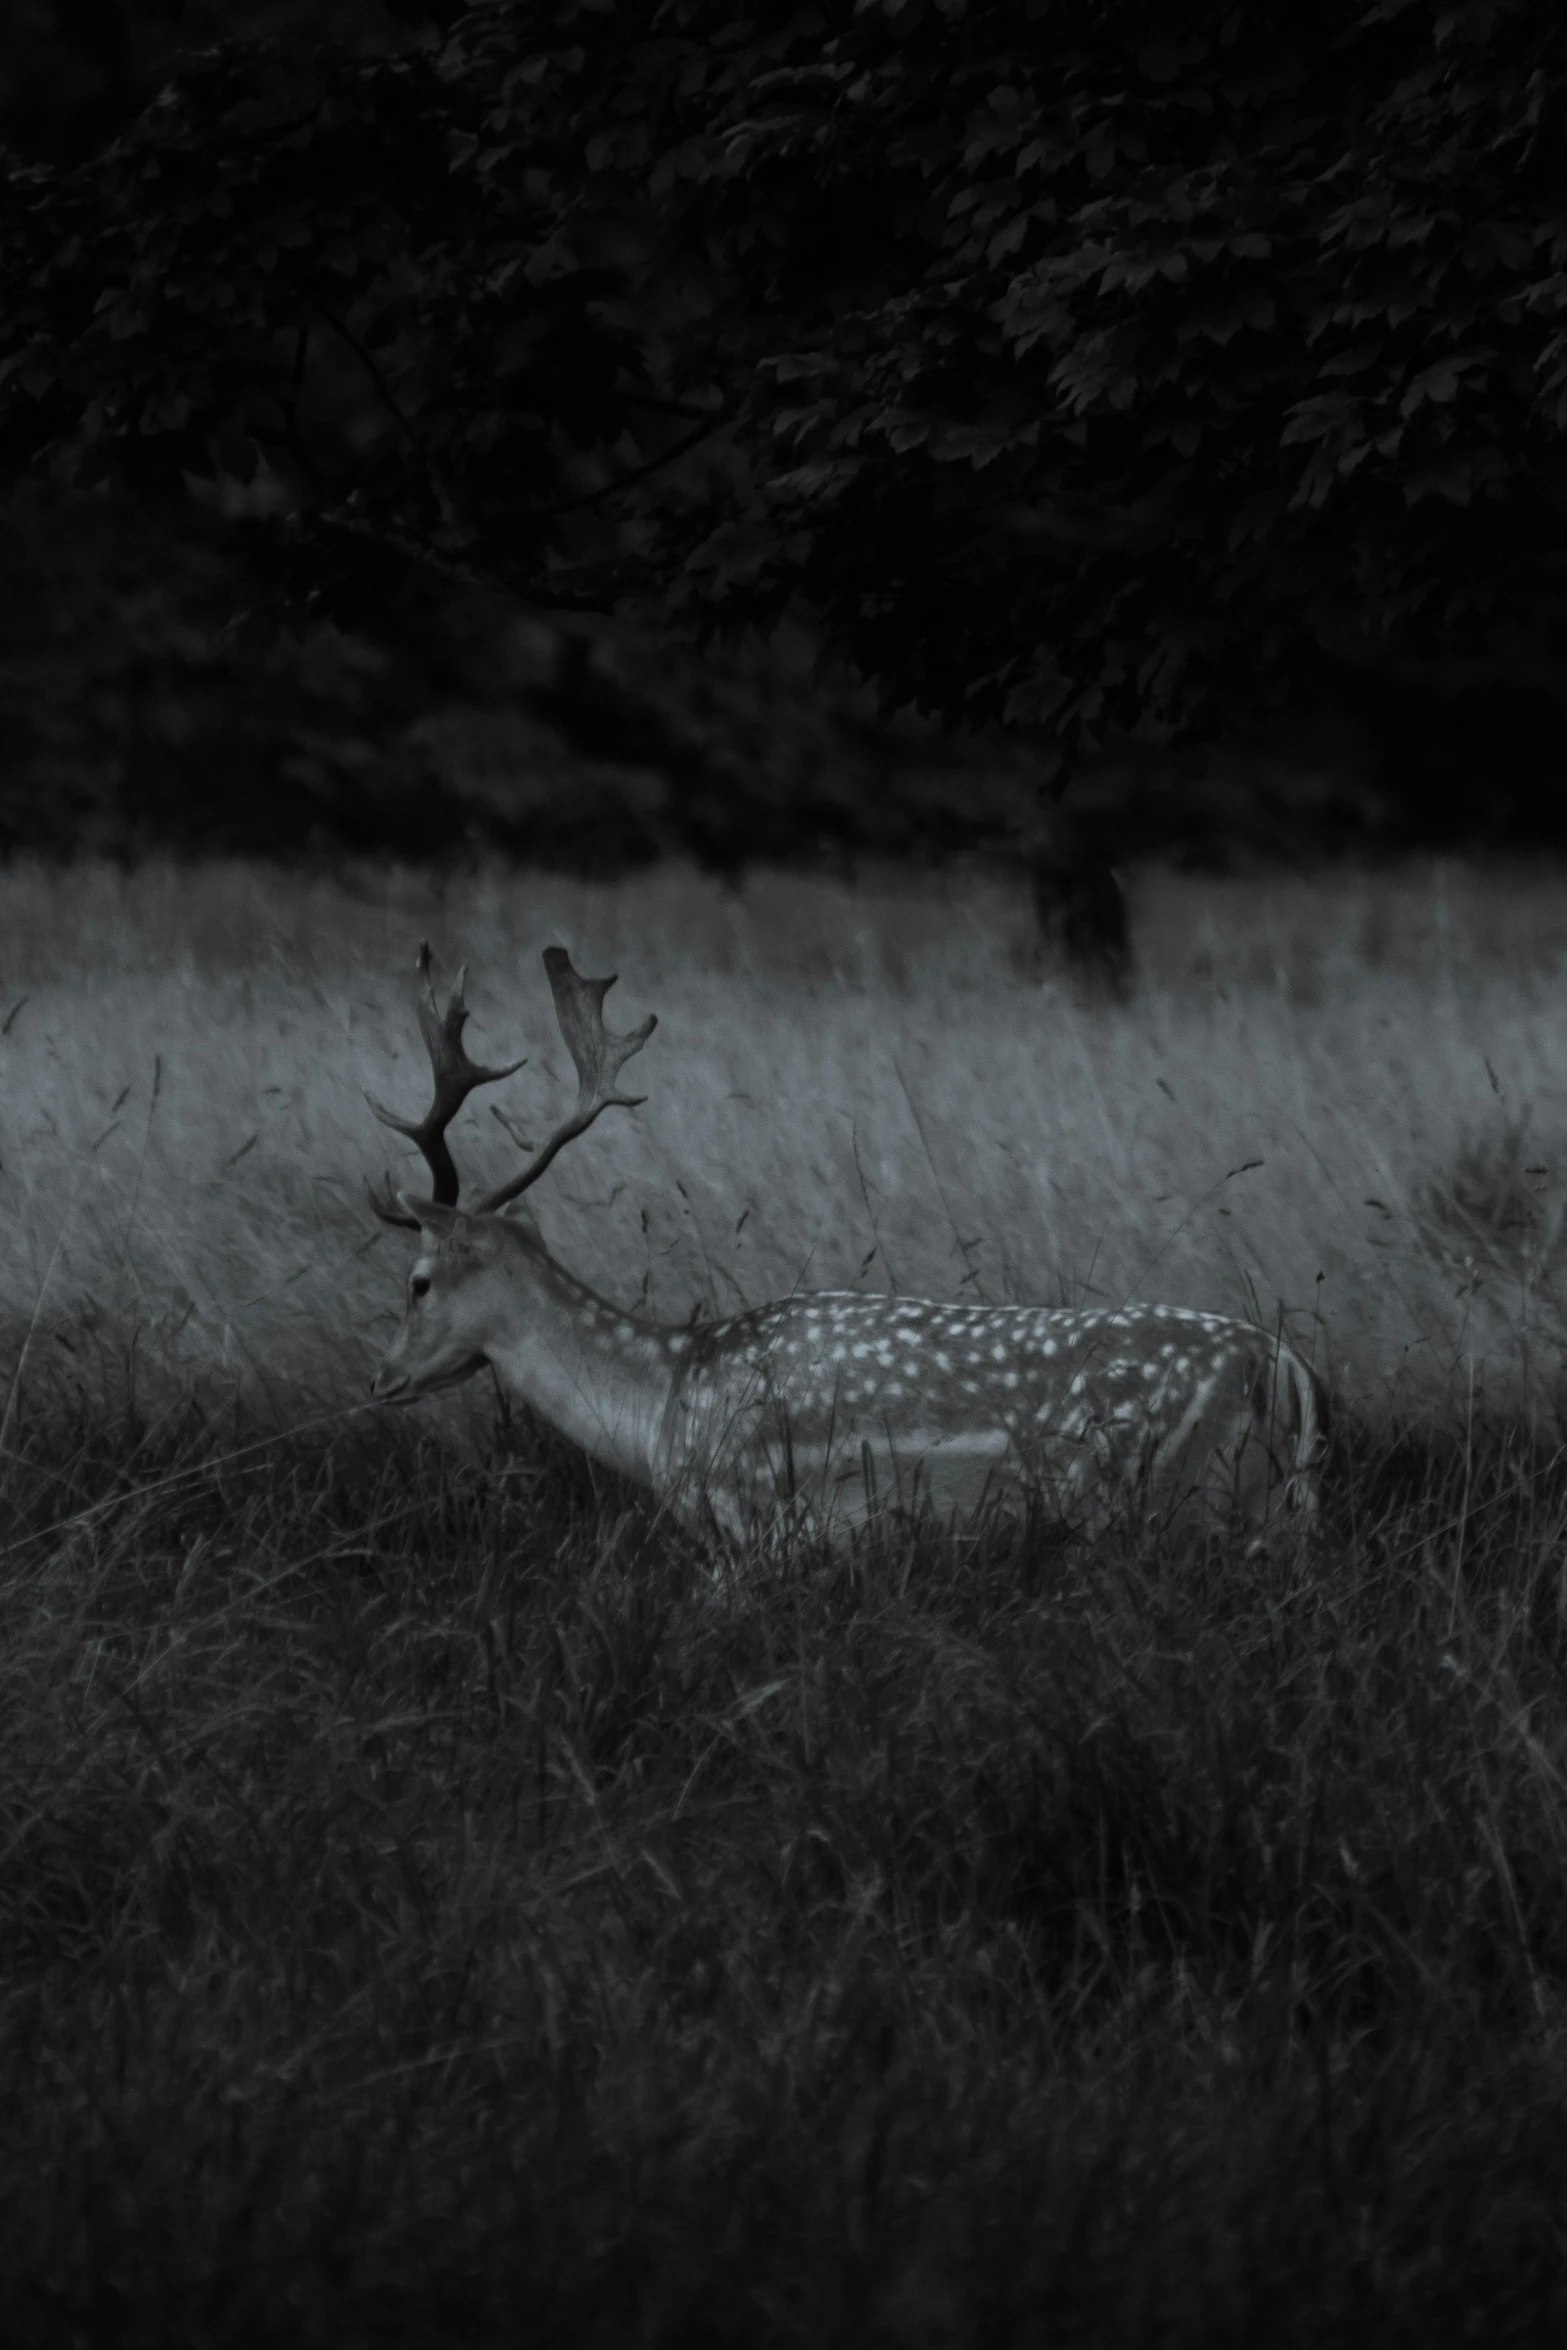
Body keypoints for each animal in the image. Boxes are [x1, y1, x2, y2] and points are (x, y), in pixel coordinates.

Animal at [364, 944, 1325, 1550]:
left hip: (1177, 1500)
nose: (382, 1380)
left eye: (417, 1280)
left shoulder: (757, 1525)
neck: (664, 1404)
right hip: (1272, 1514)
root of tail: (1285, 1368)